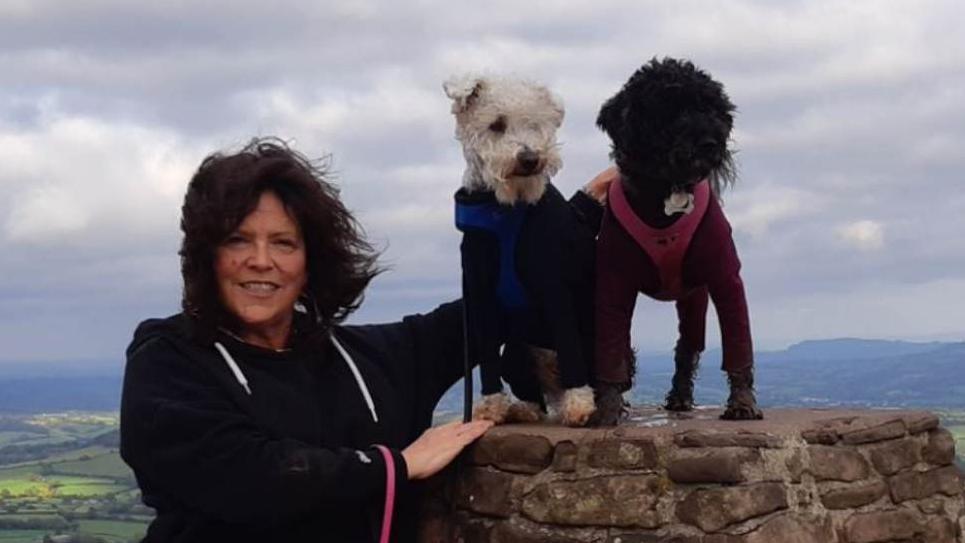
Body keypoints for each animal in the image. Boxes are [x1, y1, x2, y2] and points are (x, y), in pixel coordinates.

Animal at [588, 58, 760, 424]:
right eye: (670, 109)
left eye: (713, 108)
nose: (711, 142)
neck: (664, 193)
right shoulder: (613, 285)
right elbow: (610, 351)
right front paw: (607, 408)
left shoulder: (725, 278)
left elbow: (738, 344)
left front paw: (742, 403)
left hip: (694, 299)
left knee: (688, 347)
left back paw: (681, 395)